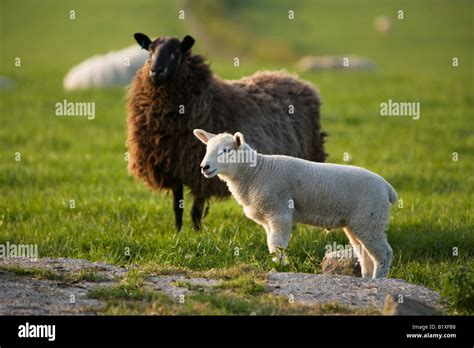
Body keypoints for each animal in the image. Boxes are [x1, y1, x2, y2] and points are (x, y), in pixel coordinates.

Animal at [126, 33, 326, 231]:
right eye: (150, 50)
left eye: (177, 51)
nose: (156, 71)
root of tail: (293, 78)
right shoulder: (173, 169)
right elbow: (177, 207)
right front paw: (178, 232)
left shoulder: (201, 174)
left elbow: (195, 210)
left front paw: (197, 233)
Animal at [194, 129, 398, 278]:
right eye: (206, 148)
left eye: (226, 151)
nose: (204, 167)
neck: (256, 172)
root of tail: (387, 188)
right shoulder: (268, 219)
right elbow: (272, 244)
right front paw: (278, 265)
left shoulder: (279, 212)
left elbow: (276, 244)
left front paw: (279, 268)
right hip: (358, 224)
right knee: (365, 255)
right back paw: (366, 278)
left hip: (371, 219)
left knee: (384, 254)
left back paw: (378, 279)